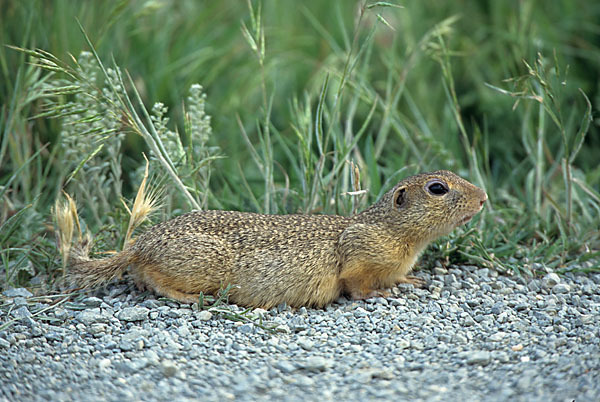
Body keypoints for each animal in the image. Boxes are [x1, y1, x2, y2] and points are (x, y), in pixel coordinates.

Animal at [67, 170, 488, 308]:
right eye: (438, 188)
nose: (484, 197)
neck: (393, 228)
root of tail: (140, 244)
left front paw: (411, 280)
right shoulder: (359, 256)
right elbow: (356, 284)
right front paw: (380, 293)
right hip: (200, 265)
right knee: (154, 280)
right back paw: (190, 298)